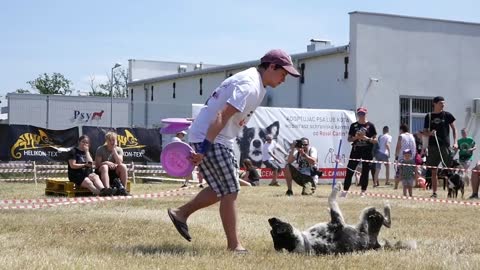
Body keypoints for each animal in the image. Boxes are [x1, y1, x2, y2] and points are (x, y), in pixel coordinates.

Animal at [268, 184, 414, 255]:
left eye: (272, 230)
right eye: (277, 227)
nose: (270, 219)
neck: (303, 241)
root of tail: (375, 243)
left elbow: (331, 203)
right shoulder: (337, 220)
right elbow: (332, 199)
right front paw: (337, 187)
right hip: (369, 222)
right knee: (384, 219)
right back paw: (383, 206)